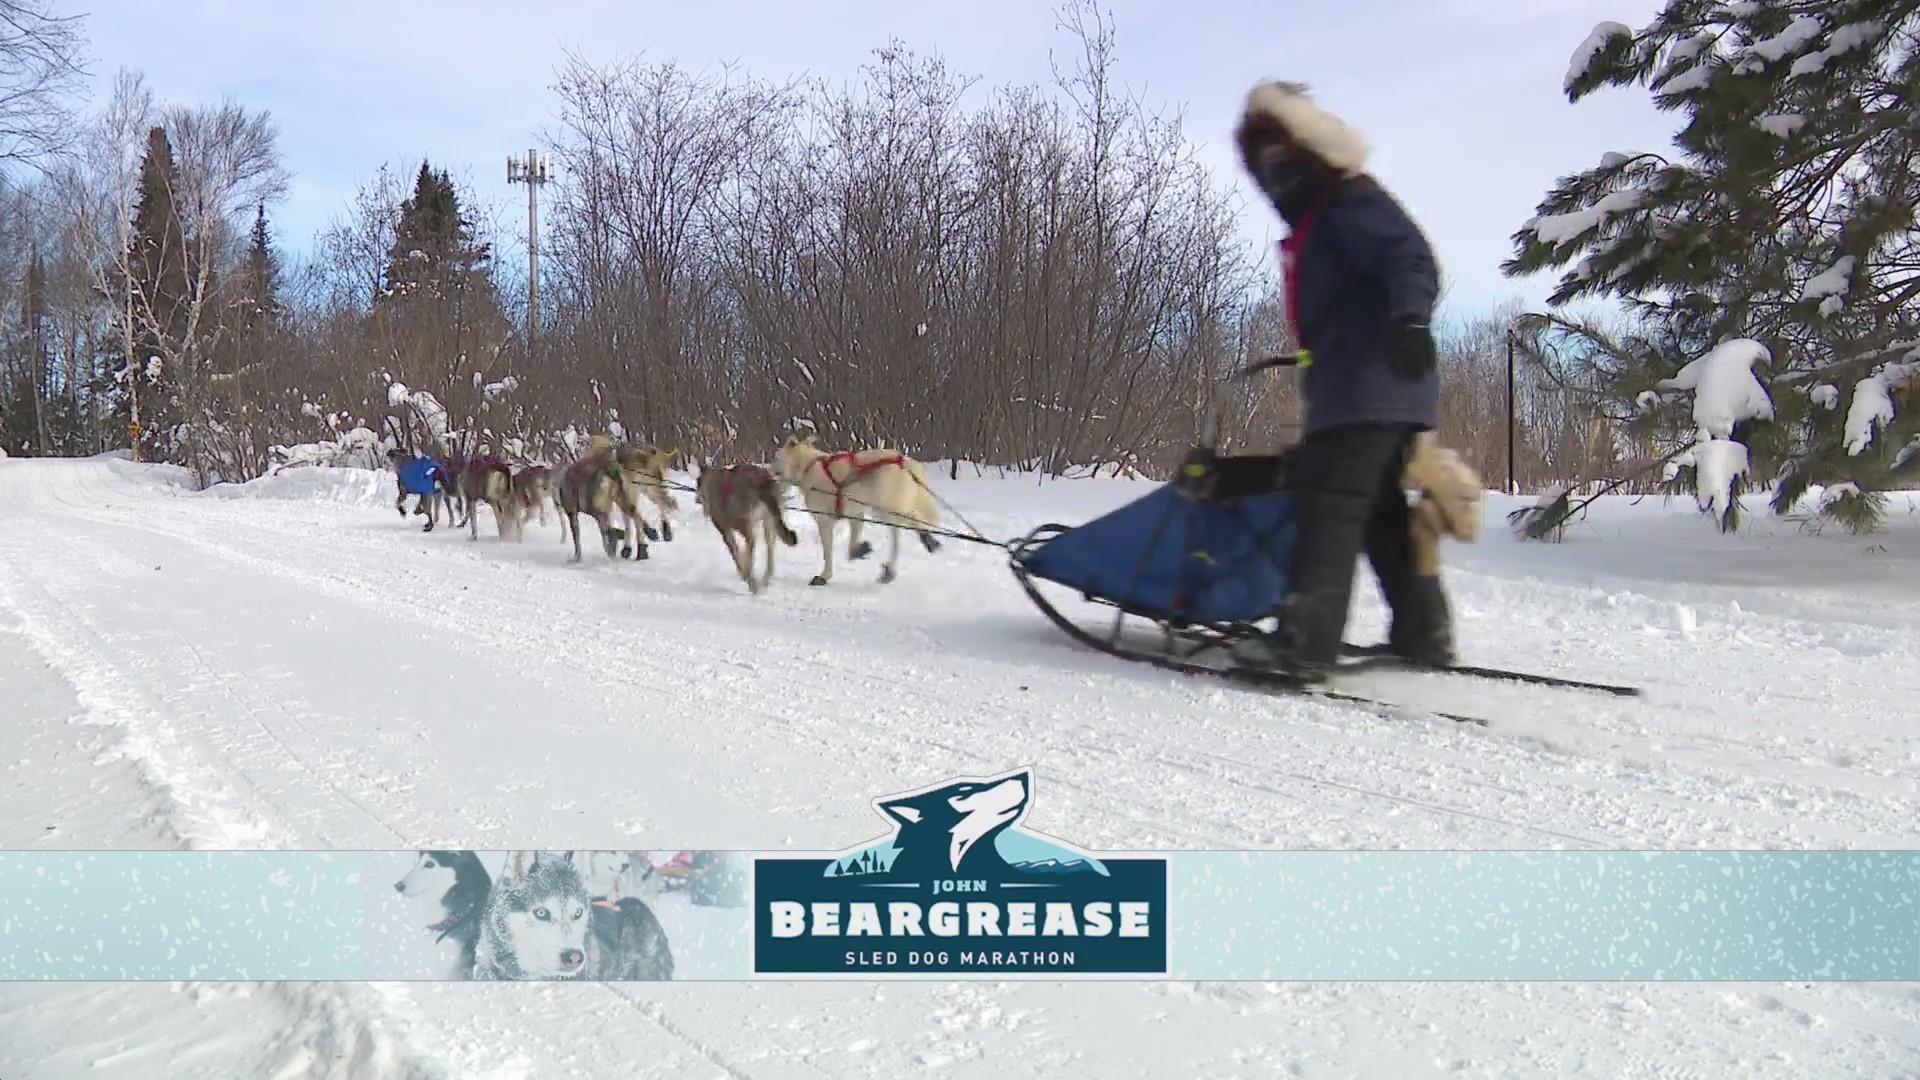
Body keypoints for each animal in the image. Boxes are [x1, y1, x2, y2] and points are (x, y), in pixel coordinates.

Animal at [695, 457, 798, 591]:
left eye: (697, 483)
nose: (696, 498)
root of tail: (762, 481)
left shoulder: (726, 531)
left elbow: (735, 553)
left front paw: (743, 572)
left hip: (745, 524)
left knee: (751, 546)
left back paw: (751, 582)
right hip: (770, 522)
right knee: (769, 549)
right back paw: (764, 579)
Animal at [771, 428, 936, 584]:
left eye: (776, 457)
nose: (768, 468)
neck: (808, 467)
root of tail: (906, 462)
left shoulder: (825, 521)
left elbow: (828, 552)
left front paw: (824, 576)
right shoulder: (856, 516)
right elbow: (852, 547)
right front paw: (860, 550)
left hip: (885, 507)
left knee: (900, 533)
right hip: (882, 508)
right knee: (911, 522)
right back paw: (927, 541)